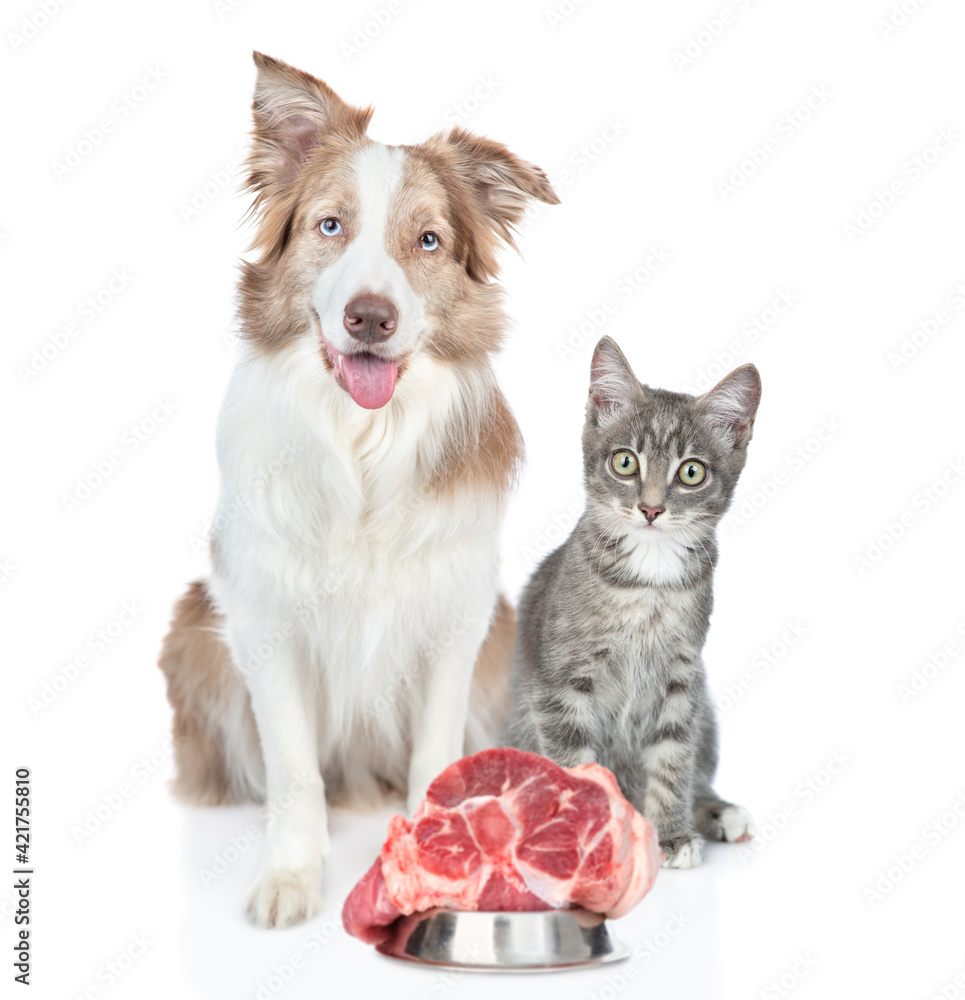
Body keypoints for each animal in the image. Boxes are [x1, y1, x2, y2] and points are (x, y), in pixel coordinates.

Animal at [159, 54, 556, 928]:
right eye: (330, 226)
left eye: (428, 240)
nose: (369, 317)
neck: (361, 442)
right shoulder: (265, 620)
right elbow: (293, 770)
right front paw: (290, 876)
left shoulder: (456, 618)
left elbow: (436, 754)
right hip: (195, 627)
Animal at [504, 336, 760, 868]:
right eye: (625, 462)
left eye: (691, 472)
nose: (651, 508)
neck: (648, 585)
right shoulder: (561, 686)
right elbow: (575, 765)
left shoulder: (682, 680)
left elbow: (673, 759)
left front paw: (672, 834)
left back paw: (718, 811)